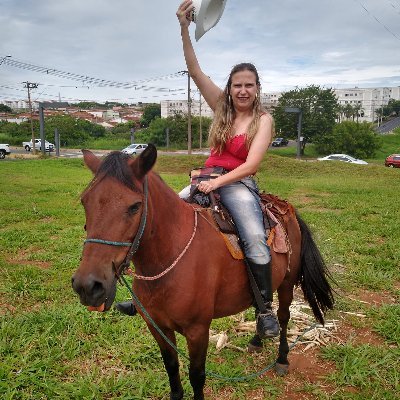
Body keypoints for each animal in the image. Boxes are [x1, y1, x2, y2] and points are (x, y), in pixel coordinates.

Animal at [72, 145, 334, 400]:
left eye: (135, 206)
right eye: (85, 202)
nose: (87, 286)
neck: (171, 258)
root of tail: (285, 208)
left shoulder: (198, 331)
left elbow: (197, 375)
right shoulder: (157, 326)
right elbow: (171, 367)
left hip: (287, 283)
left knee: (283, 317)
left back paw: (281, 358)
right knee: (261, 304)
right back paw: (257, 339)